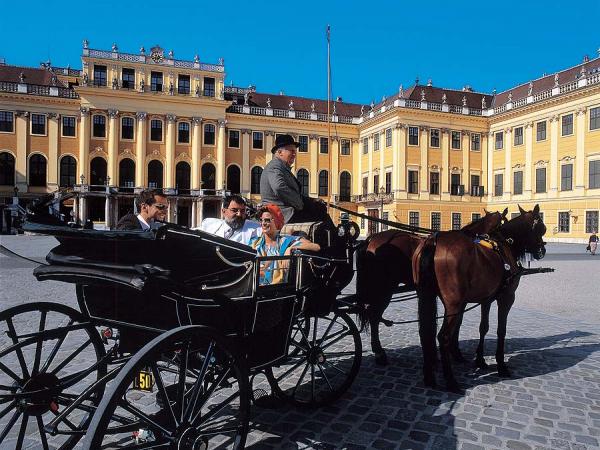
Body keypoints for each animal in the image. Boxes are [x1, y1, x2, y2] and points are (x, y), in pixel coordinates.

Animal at [356, 209, 506, 368]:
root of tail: (371, 239)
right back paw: (379, 353)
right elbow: (457, 322)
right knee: (374, 315)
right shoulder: (460, 299)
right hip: (385, 289)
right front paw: (455, 352)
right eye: (502, 225)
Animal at [414, 206, 548, 392]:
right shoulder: (507, 298)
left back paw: (429, 377)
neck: (505, 245)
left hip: (427, 296)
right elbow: (501, 330)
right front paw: (501, 365)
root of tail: (433, 240)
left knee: (426, 332)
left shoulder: (486, 299)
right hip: (453, 305)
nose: (541, 251)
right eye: (541, 228)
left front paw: (480, 359)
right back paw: (451, 381)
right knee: (443, 337)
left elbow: (483, 327)